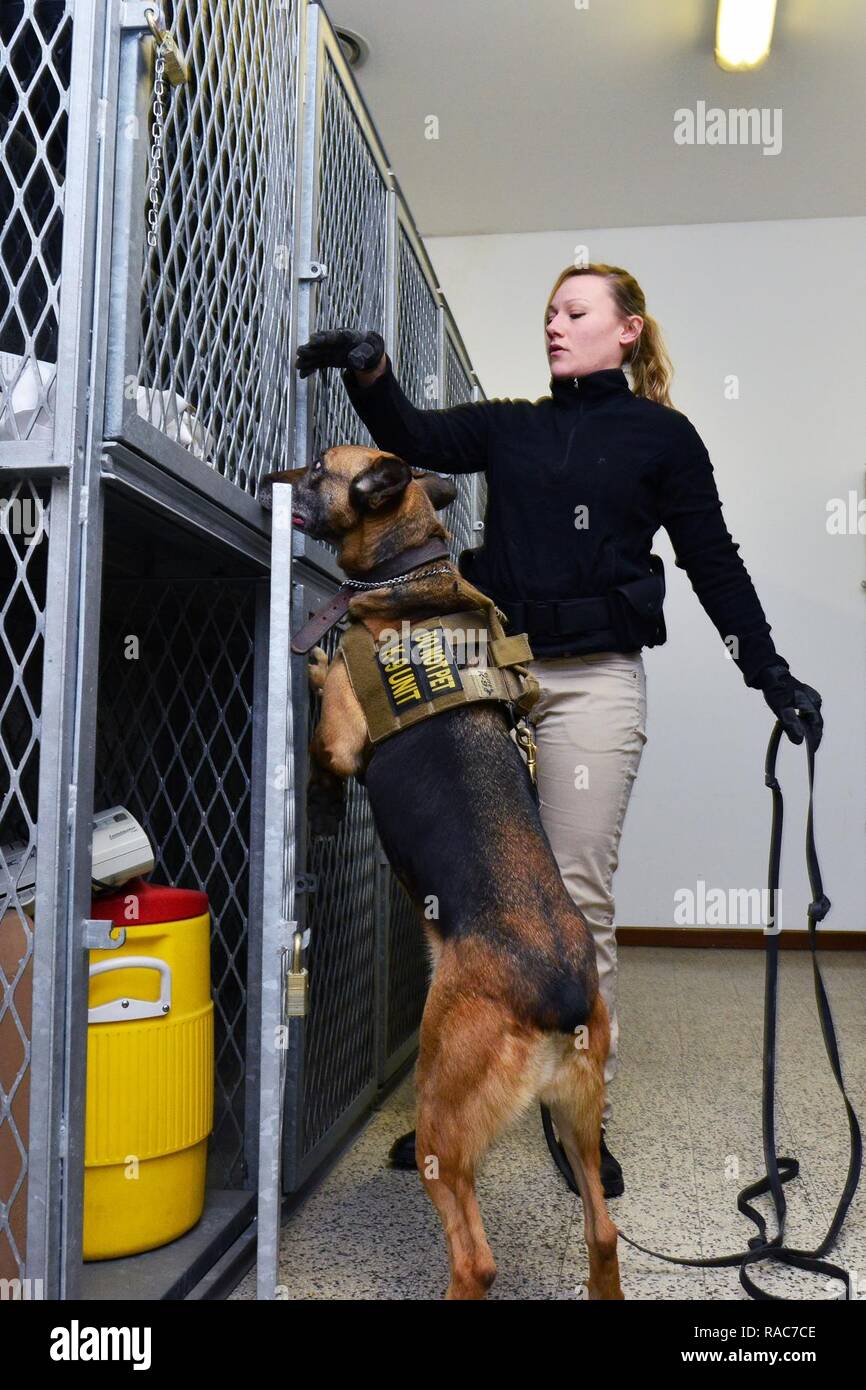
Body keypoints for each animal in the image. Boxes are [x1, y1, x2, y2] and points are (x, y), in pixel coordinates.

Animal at [264, 447, 622, 1301]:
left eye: (319, 469)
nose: (270, 479)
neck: (408, 572)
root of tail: (561, 992)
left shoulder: (341, 739)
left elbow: (324, 703)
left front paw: (318, 661)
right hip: (577, 1119)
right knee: (602, 1234)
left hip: (442, 1111)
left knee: (476, 1258)